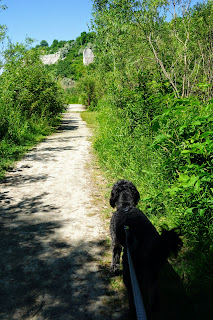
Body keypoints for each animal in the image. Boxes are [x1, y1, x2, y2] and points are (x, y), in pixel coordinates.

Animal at [110, 180, 181, 318]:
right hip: (152, 272)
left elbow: (114, 256)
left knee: (132, 292)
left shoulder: (115, 241)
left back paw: (132, 311)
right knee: (153, 294)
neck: (126, 206)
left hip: (130, 268)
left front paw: (114, 269)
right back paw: (153, 310)